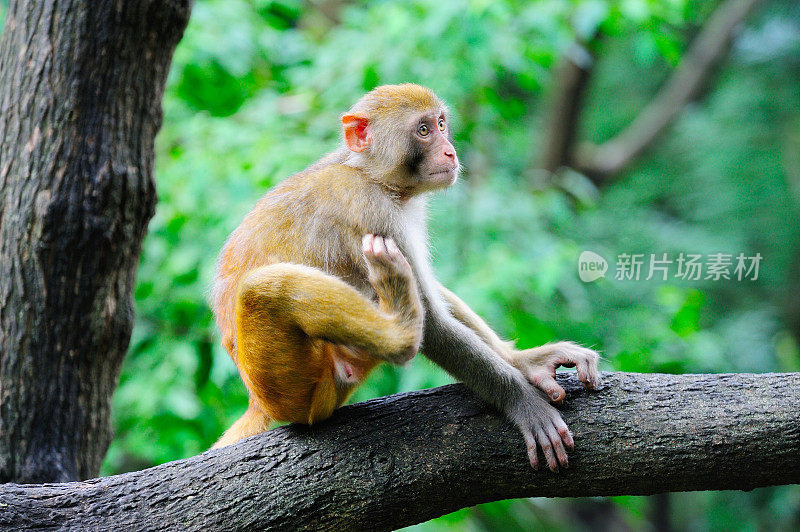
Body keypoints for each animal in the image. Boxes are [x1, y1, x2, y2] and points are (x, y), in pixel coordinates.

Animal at [212, 82, 600, 470]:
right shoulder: (373, 213)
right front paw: (522, 402)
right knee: (264, 287)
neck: (373, 176)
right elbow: (435, 326)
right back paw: (399, 321)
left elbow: (434, 299)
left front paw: (526, 362)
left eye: (441, 124)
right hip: (293, 386)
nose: (449, 151)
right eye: (423, 131)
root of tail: (257, 400)